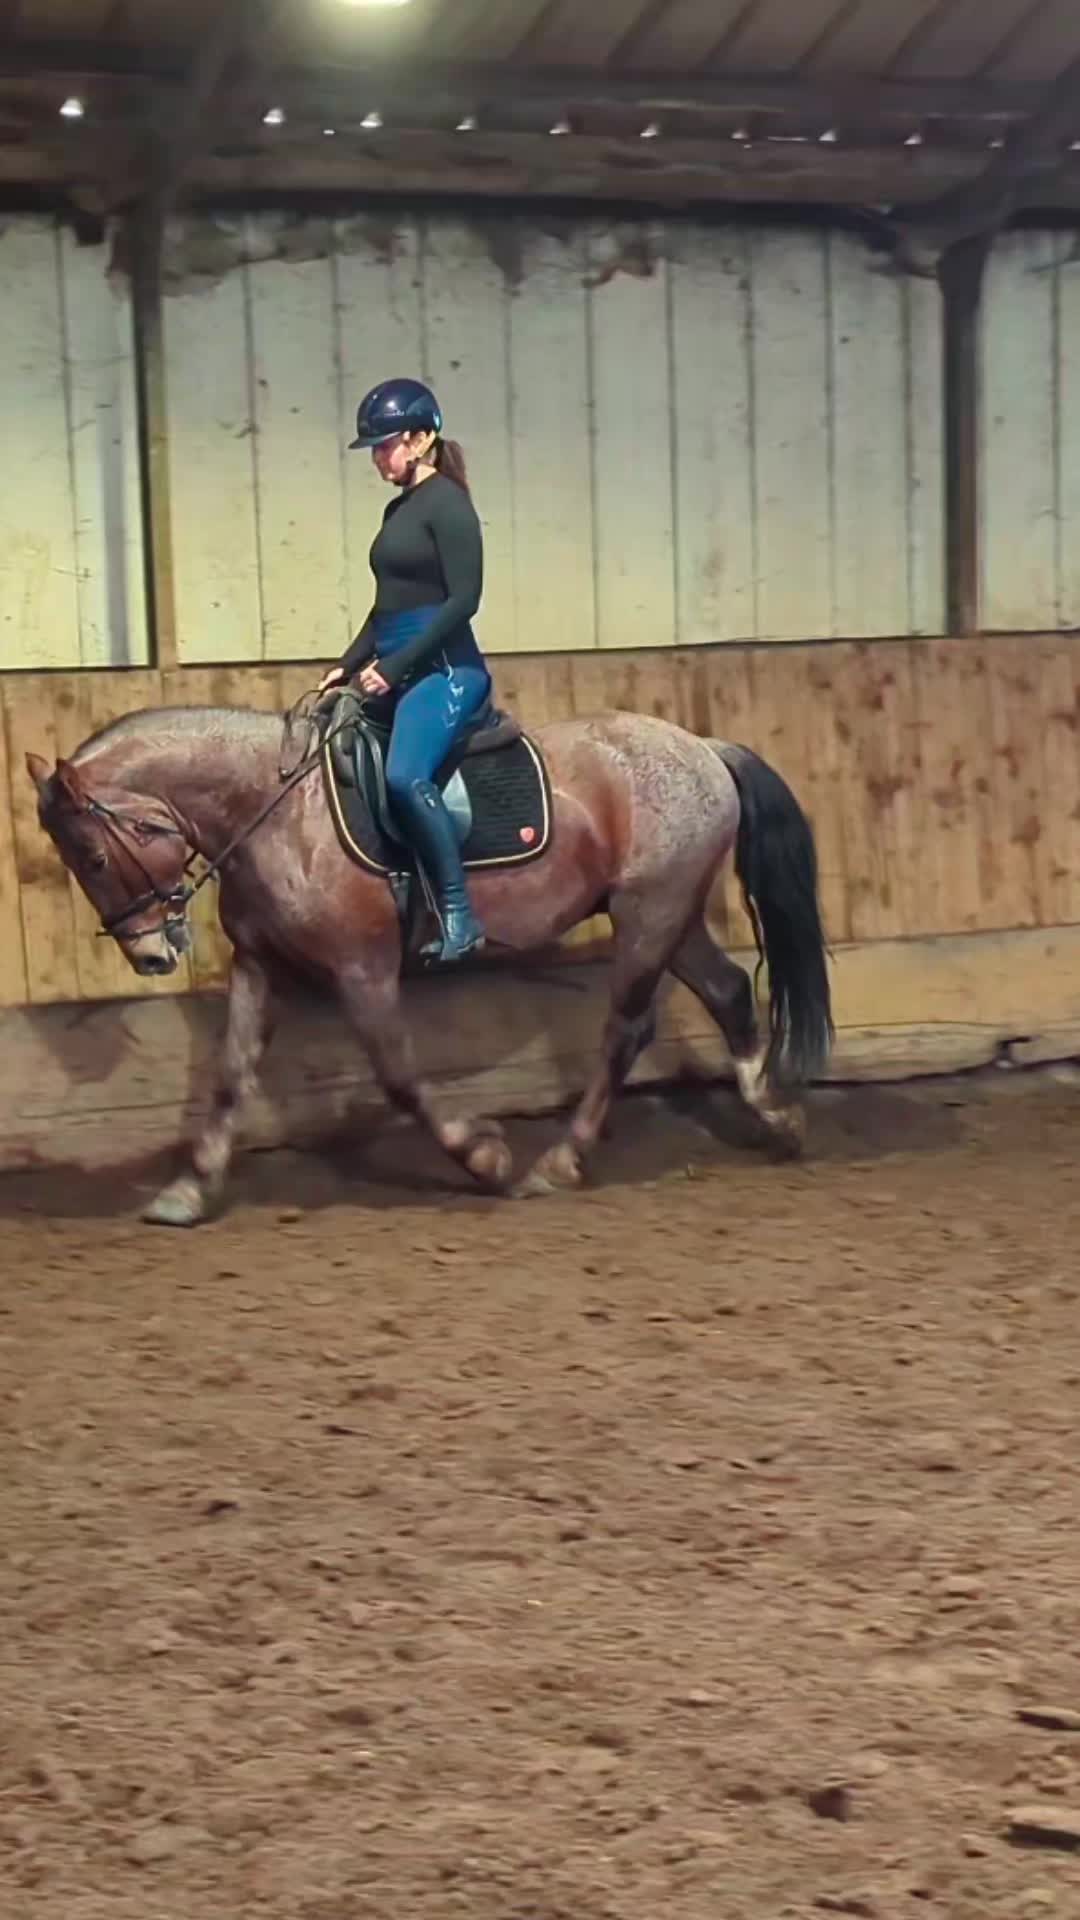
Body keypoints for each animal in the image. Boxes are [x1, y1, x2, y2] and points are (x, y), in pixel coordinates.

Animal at [26, 697, 832, 1225]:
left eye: (94, 857)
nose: (150, 954)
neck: (278, 812)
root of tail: (702, 747)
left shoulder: (362, 969)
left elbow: (399, 1077)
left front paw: (484, 1157)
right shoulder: (261, 964)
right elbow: (230, 1076)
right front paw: (189, 1192)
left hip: (649, 914)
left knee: (626, 1031)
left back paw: (559, 1163)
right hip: (672, 915)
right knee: (729, 992)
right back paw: (779, 1119)